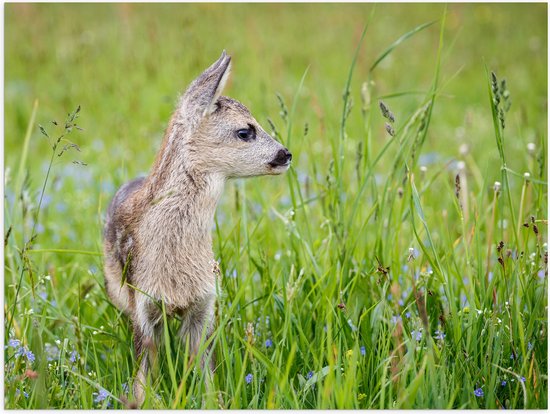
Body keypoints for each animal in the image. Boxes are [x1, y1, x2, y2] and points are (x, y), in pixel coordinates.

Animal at [103, 50, 294, 406]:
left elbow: (207, 373)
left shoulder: (205, 305)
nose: (286, 154)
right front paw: (145, 400)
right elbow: (141, 376)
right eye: (245, 131)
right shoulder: (142, 305)